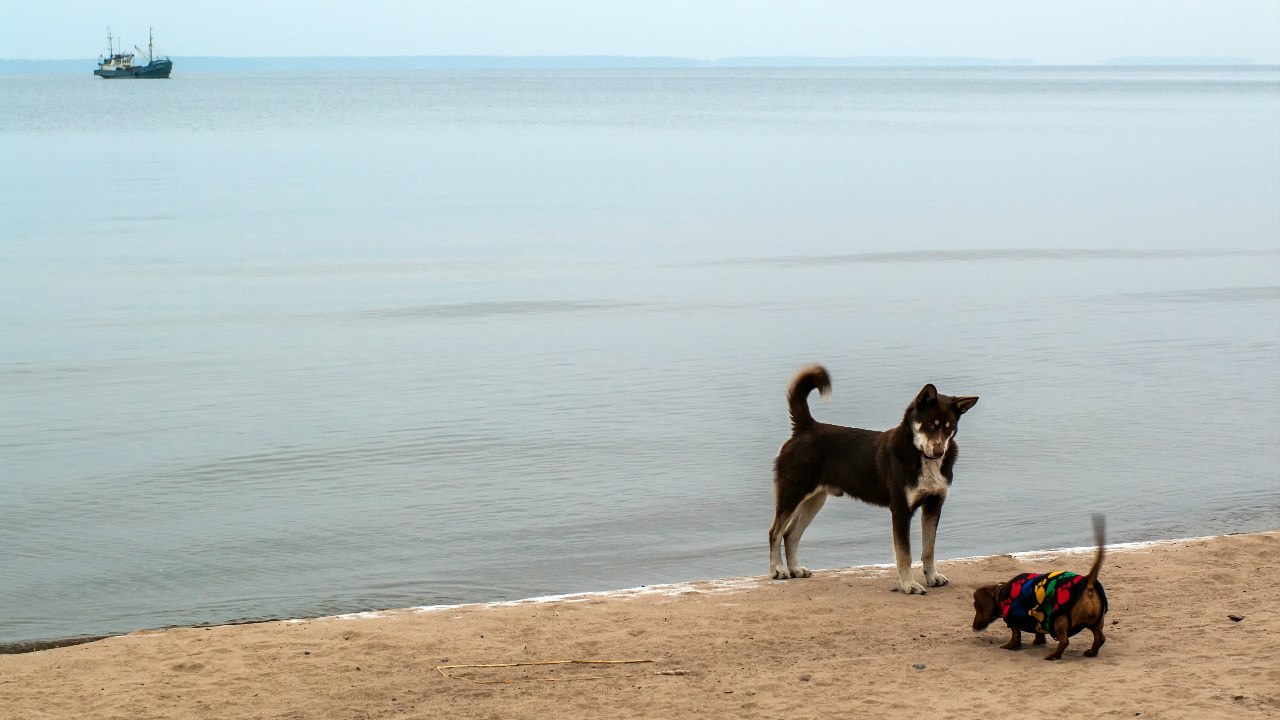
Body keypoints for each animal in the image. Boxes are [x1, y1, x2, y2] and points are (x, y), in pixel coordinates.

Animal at [768, 366, 977, 591]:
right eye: (930, 423)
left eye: (948, 426)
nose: (939, 452)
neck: (921, 457)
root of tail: (806, 426)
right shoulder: (901, 510)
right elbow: (905, 554)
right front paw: (909, 585)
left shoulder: (933, 505)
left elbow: (929, 549)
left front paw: (932, 576)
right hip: (792, 495)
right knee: (775, 532)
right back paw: (778, 570)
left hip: (813, 501)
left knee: (790, 534)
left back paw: (795, 569)